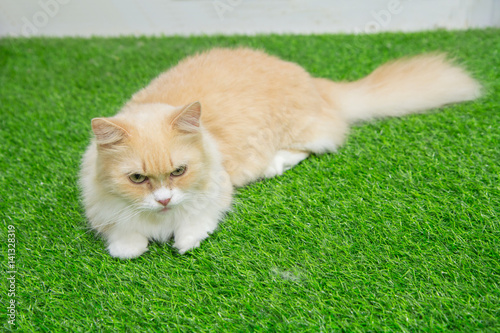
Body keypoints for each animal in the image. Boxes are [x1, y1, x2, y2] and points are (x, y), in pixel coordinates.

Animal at [80, 47, 482, 260]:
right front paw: (132, 245)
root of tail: (315, 82)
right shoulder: (107, 211)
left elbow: (194, 226)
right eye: (137, 178)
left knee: (315, 145)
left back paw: (274, 165)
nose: (163, 200)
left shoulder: (215, 193)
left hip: (300, 132)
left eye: (179, 171)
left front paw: (183, 240)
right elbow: (126, 241)